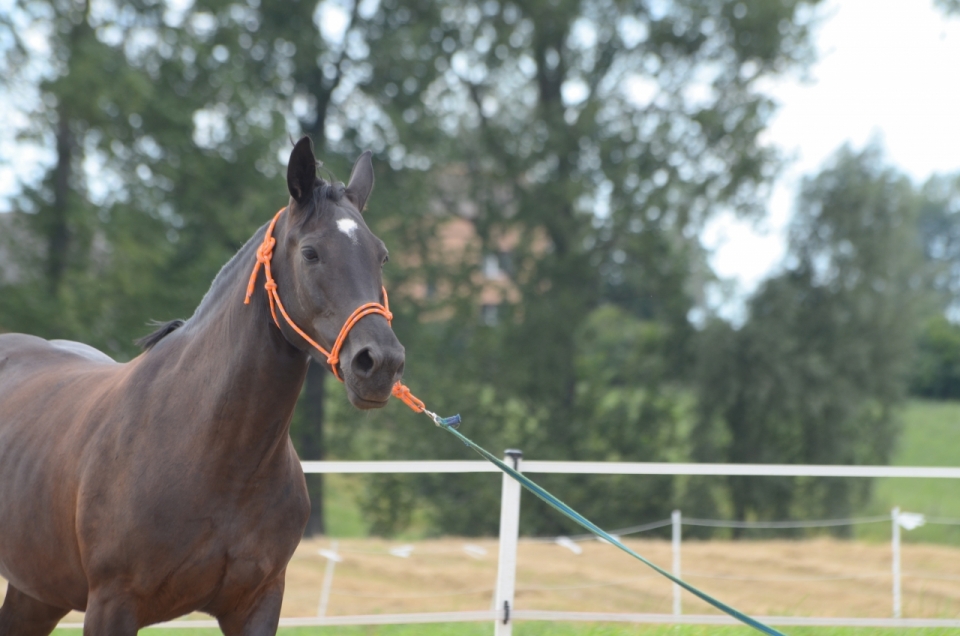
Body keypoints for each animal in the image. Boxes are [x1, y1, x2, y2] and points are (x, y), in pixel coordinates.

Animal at [0, 137, 402, 632]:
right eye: (311, 252)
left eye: (380, 255)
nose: (380, 362)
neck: (214, 450)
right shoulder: (112, 604)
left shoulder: (257, 603)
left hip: (37, 592)